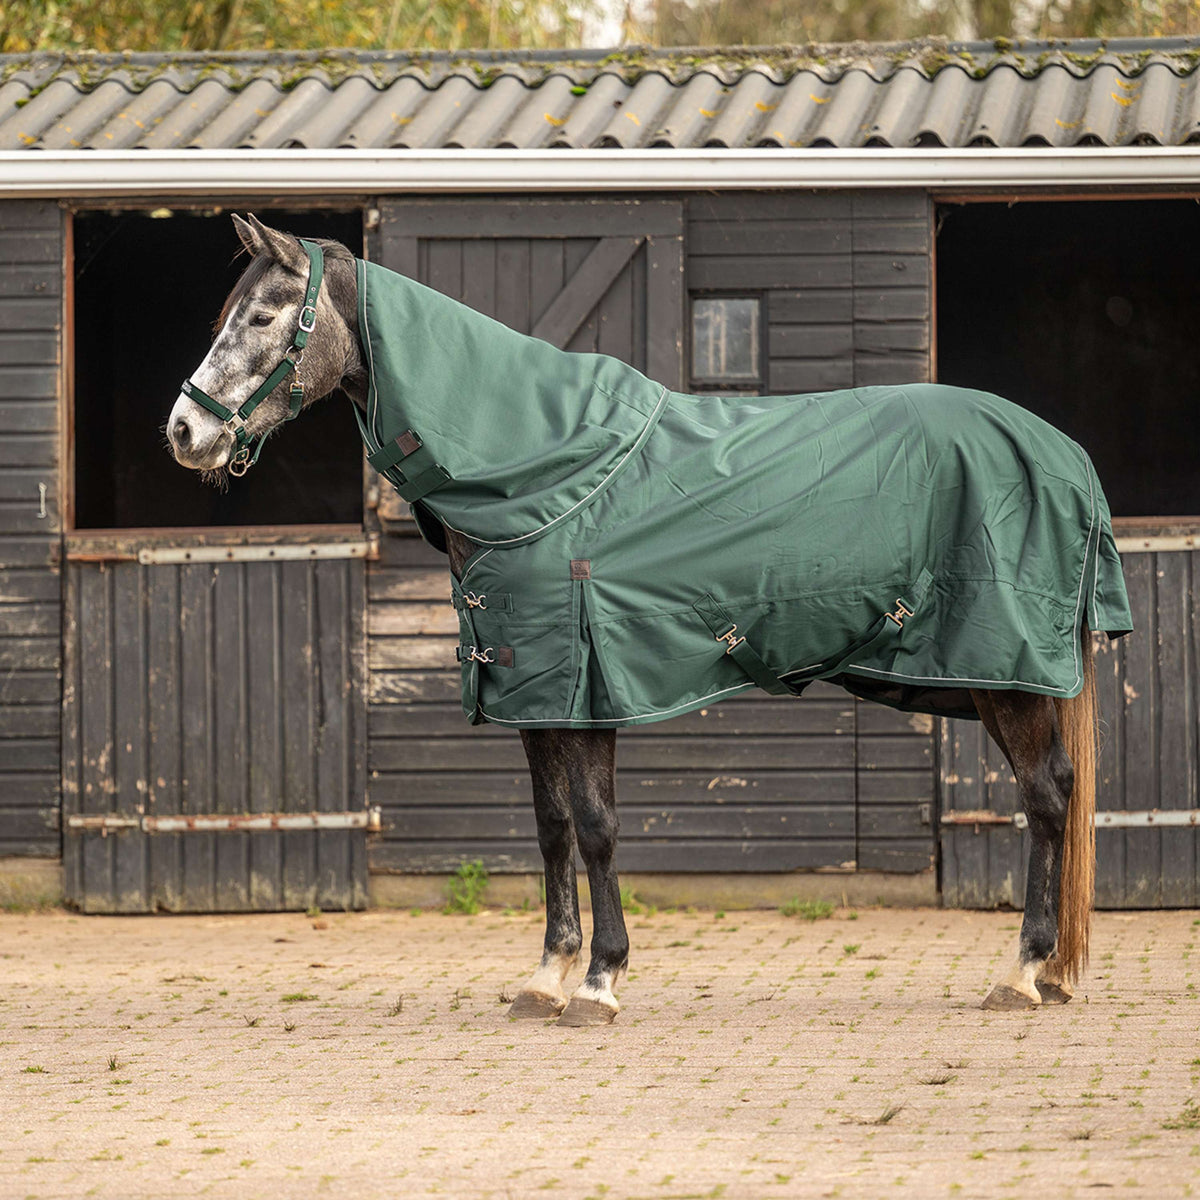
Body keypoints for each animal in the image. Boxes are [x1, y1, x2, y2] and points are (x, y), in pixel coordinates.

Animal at [167, 213, 1125, 1026]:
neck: (537, 466)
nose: (182, 432)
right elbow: (552, 831)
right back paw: (1046, 973)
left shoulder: (586, 687)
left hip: (1007, 676)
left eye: (262, 315)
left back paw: (1022, 973)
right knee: (1054, 796)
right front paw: (546, 977)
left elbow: (596, 829)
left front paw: (599, 981)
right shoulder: (530, 691)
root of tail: (1064, 451)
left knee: (1048, 798)